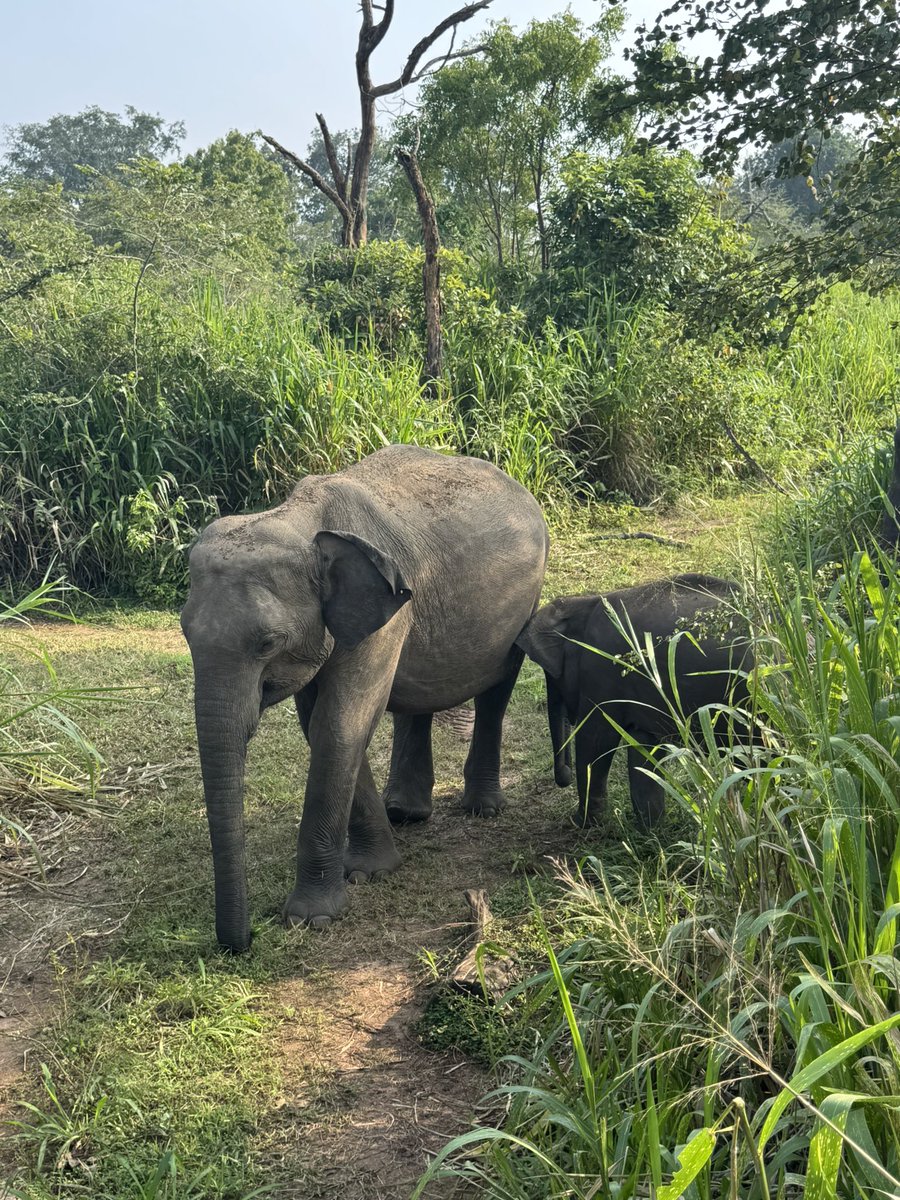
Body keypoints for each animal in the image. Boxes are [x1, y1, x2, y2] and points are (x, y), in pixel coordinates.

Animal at [180, 445, 549, 952]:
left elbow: (339, 725)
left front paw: (312, 918)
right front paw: (371, 872)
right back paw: (405, 813)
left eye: (268, 643)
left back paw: (482, 809)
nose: (241, 943)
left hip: (527, 597)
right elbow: (320, 723)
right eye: (184, 632)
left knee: (498, 689)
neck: (298, 519)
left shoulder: (387, 611)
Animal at [516, 573, 752, 828]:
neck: (586, 601)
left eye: (552, 676)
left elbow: (596, 741)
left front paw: (581, 824)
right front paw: (651, 829)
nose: (563, 779)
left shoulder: (601, 671)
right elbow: (643, 749)